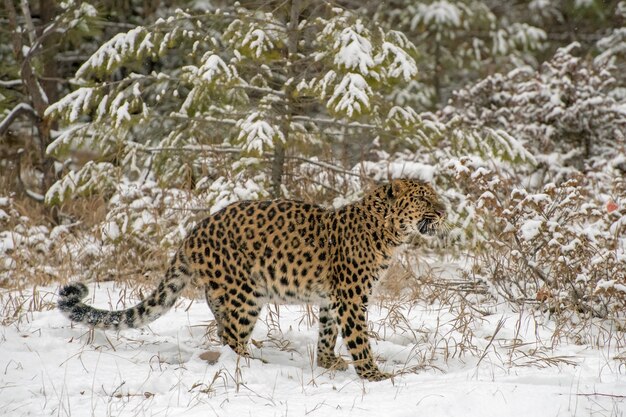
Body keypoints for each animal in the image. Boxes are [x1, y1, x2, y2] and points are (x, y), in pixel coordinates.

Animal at [58, 179, 446, 380]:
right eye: (423, 198)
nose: (444, 211)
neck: (390, 232)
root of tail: (191, 234)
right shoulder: (351, 297)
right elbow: (358, 338)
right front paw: (373, 375)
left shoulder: (331, 297)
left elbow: (327, 331)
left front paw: (327, 362)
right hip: (246, 292)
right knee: (232, 334)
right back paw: (253, 364)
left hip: (224, 293)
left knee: (221, 329)